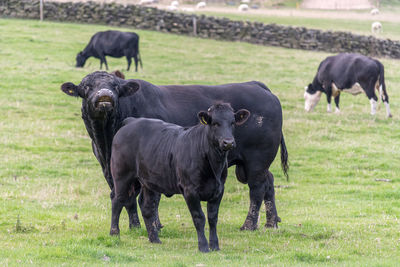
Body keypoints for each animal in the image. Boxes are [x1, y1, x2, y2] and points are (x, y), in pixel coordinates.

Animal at [60, 72, 288, 233]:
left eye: (115, 86)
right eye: (86, 87)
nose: (104, 96)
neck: (107, 138)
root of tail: (255, 85)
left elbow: (147, 198)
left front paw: (154, 225)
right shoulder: (112, 168)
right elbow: (125, 196)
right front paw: (134, 226)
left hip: (257, 160)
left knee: (257, 189)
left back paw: (249, 225)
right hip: (253, 164)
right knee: (269, 183)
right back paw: (271, 223)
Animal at [108, 103, 248, 253]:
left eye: (232, 122)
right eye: (215, 123)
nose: (228, 142)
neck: (213, 165)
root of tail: (132, 121)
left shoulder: (219, 190)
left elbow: (212, 218)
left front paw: (215, 246)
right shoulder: (190, 190)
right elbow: (199, 218)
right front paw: (203, 246)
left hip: (148, 181)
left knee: (147, 207)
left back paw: (155, 239)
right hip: (122, 176)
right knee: (117, 200)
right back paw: (114, 233)